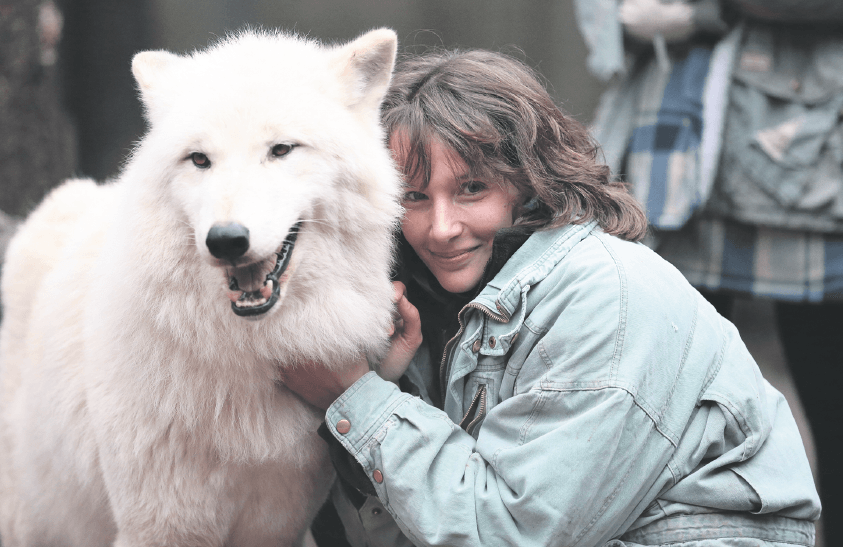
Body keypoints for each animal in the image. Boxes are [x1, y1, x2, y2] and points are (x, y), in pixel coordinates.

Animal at [0, 27, 404, 544]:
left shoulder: (277, 526)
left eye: (281, 149)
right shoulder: (162, 526)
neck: (245, 362)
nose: (227, 240)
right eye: (199, 159)